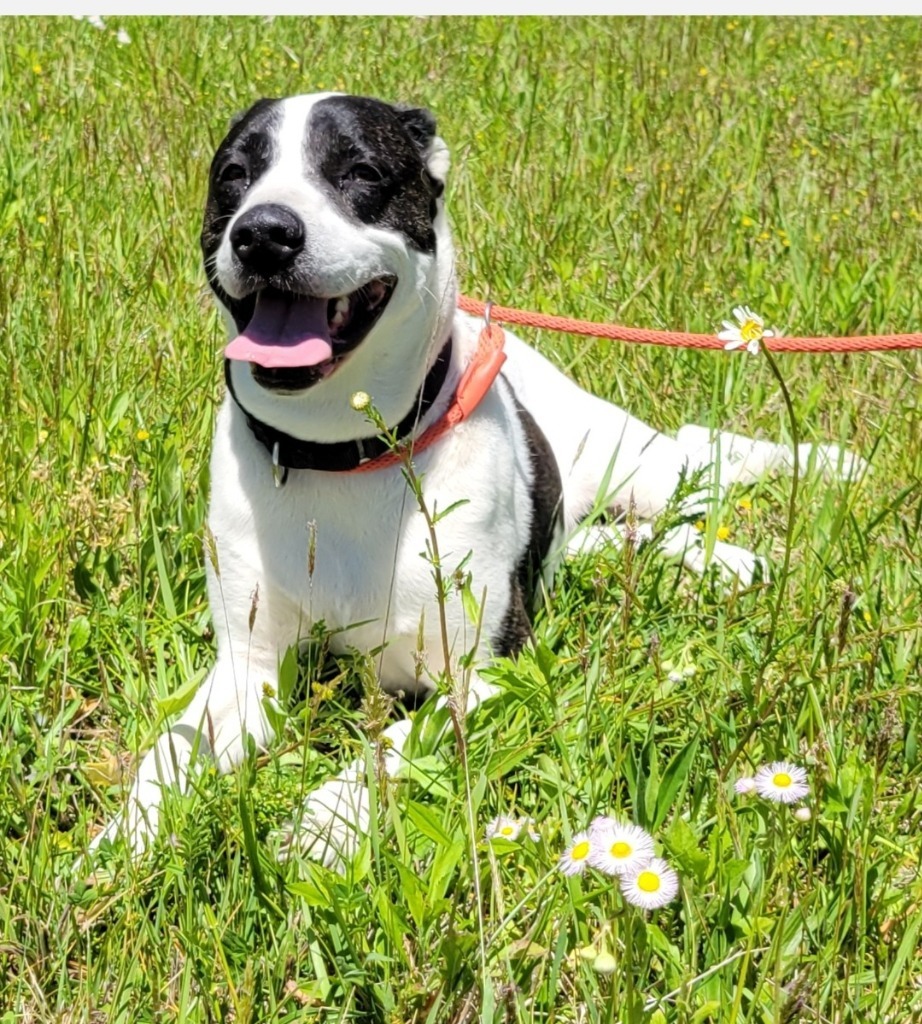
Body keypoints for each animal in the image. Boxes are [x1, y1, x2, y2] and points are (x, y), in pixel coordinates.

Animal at [91, 92, 856, 868]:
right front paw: (127, 835)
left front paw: (325, 821)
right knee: (615, 539)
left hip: (641, 468)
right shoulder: (248, 667)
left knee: (696, 454)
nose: (264, 234)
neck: (343, 453)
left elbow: (392, 746)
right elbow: (173, 749)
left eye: (362, 172)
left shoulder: (486, 674)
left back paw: (793, 496)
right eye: (235, 176)